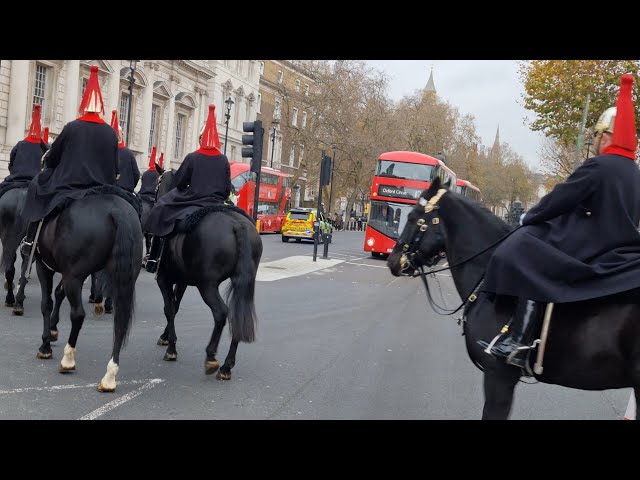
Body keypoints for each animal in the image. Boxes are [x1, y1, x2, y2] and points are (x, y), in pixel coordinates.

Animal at [33, 193, 142, 392]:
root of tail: (117, 211)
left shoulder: (44, 266)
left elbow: (46, 303)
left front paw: (45, 346)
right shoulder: (66, 272)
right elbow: (58, 293)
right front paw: (52, 329)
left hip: (74, 276)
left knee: (78, 314)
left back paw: (68, 360)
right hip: (124, 279)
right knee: (120, 323)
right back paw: (110, 376)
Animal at [152, 171, 262, 380]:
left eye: (157, 186)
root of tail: (238, 224)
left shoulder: (164, 278)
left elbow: (168, 309)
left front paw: (171, 348)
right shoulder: (182, 281)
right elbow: (175, 306)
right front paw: (166, 337)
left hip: (207, 285)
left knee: (220, 313)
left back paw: (211, 357)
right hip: (242, 283)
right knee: (236, 314)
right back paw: (227, 366)